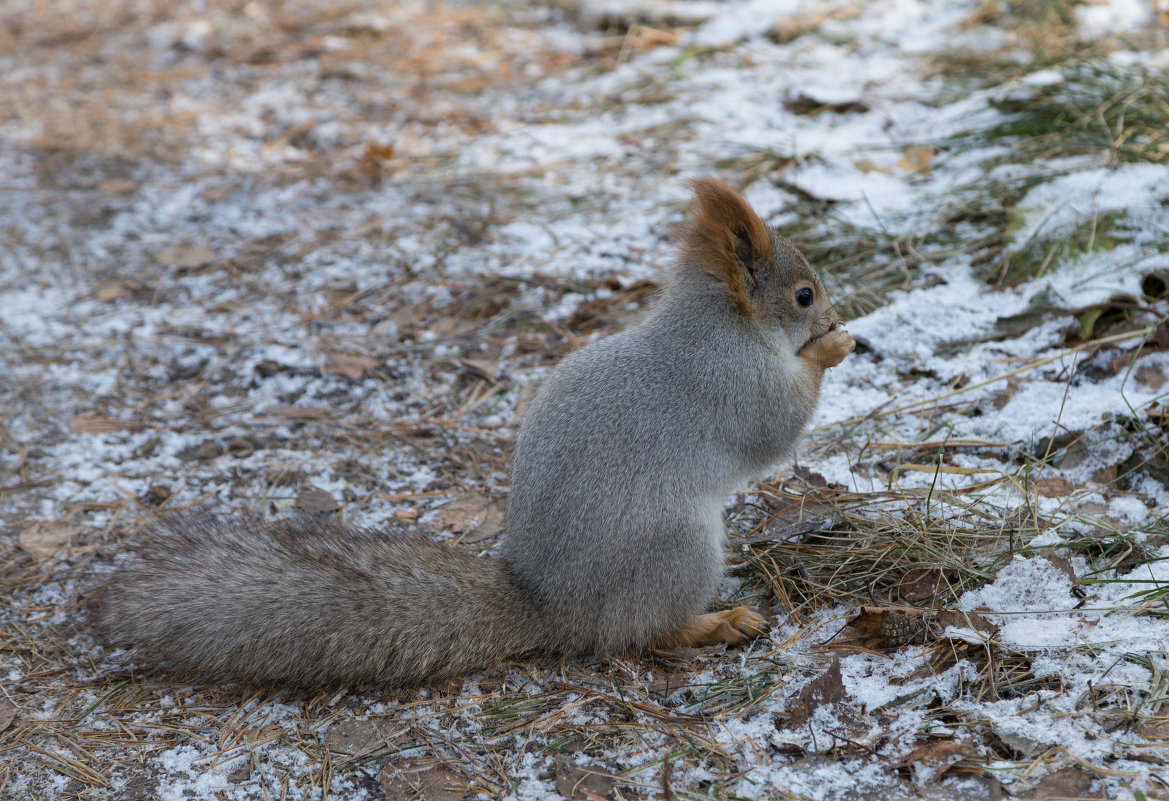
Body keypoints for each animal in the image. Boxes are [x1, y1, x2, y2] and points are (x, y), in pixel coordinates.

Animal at [95, 180, 855, 687]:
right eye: (803, 295)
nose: (834, 313)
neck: (717, 325)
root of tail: (555, 610)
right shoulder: (729, 384)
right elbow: (775, 428)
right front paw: (830, 348)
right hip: (677, 549)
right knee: (639, 634)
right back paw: (716, 623)